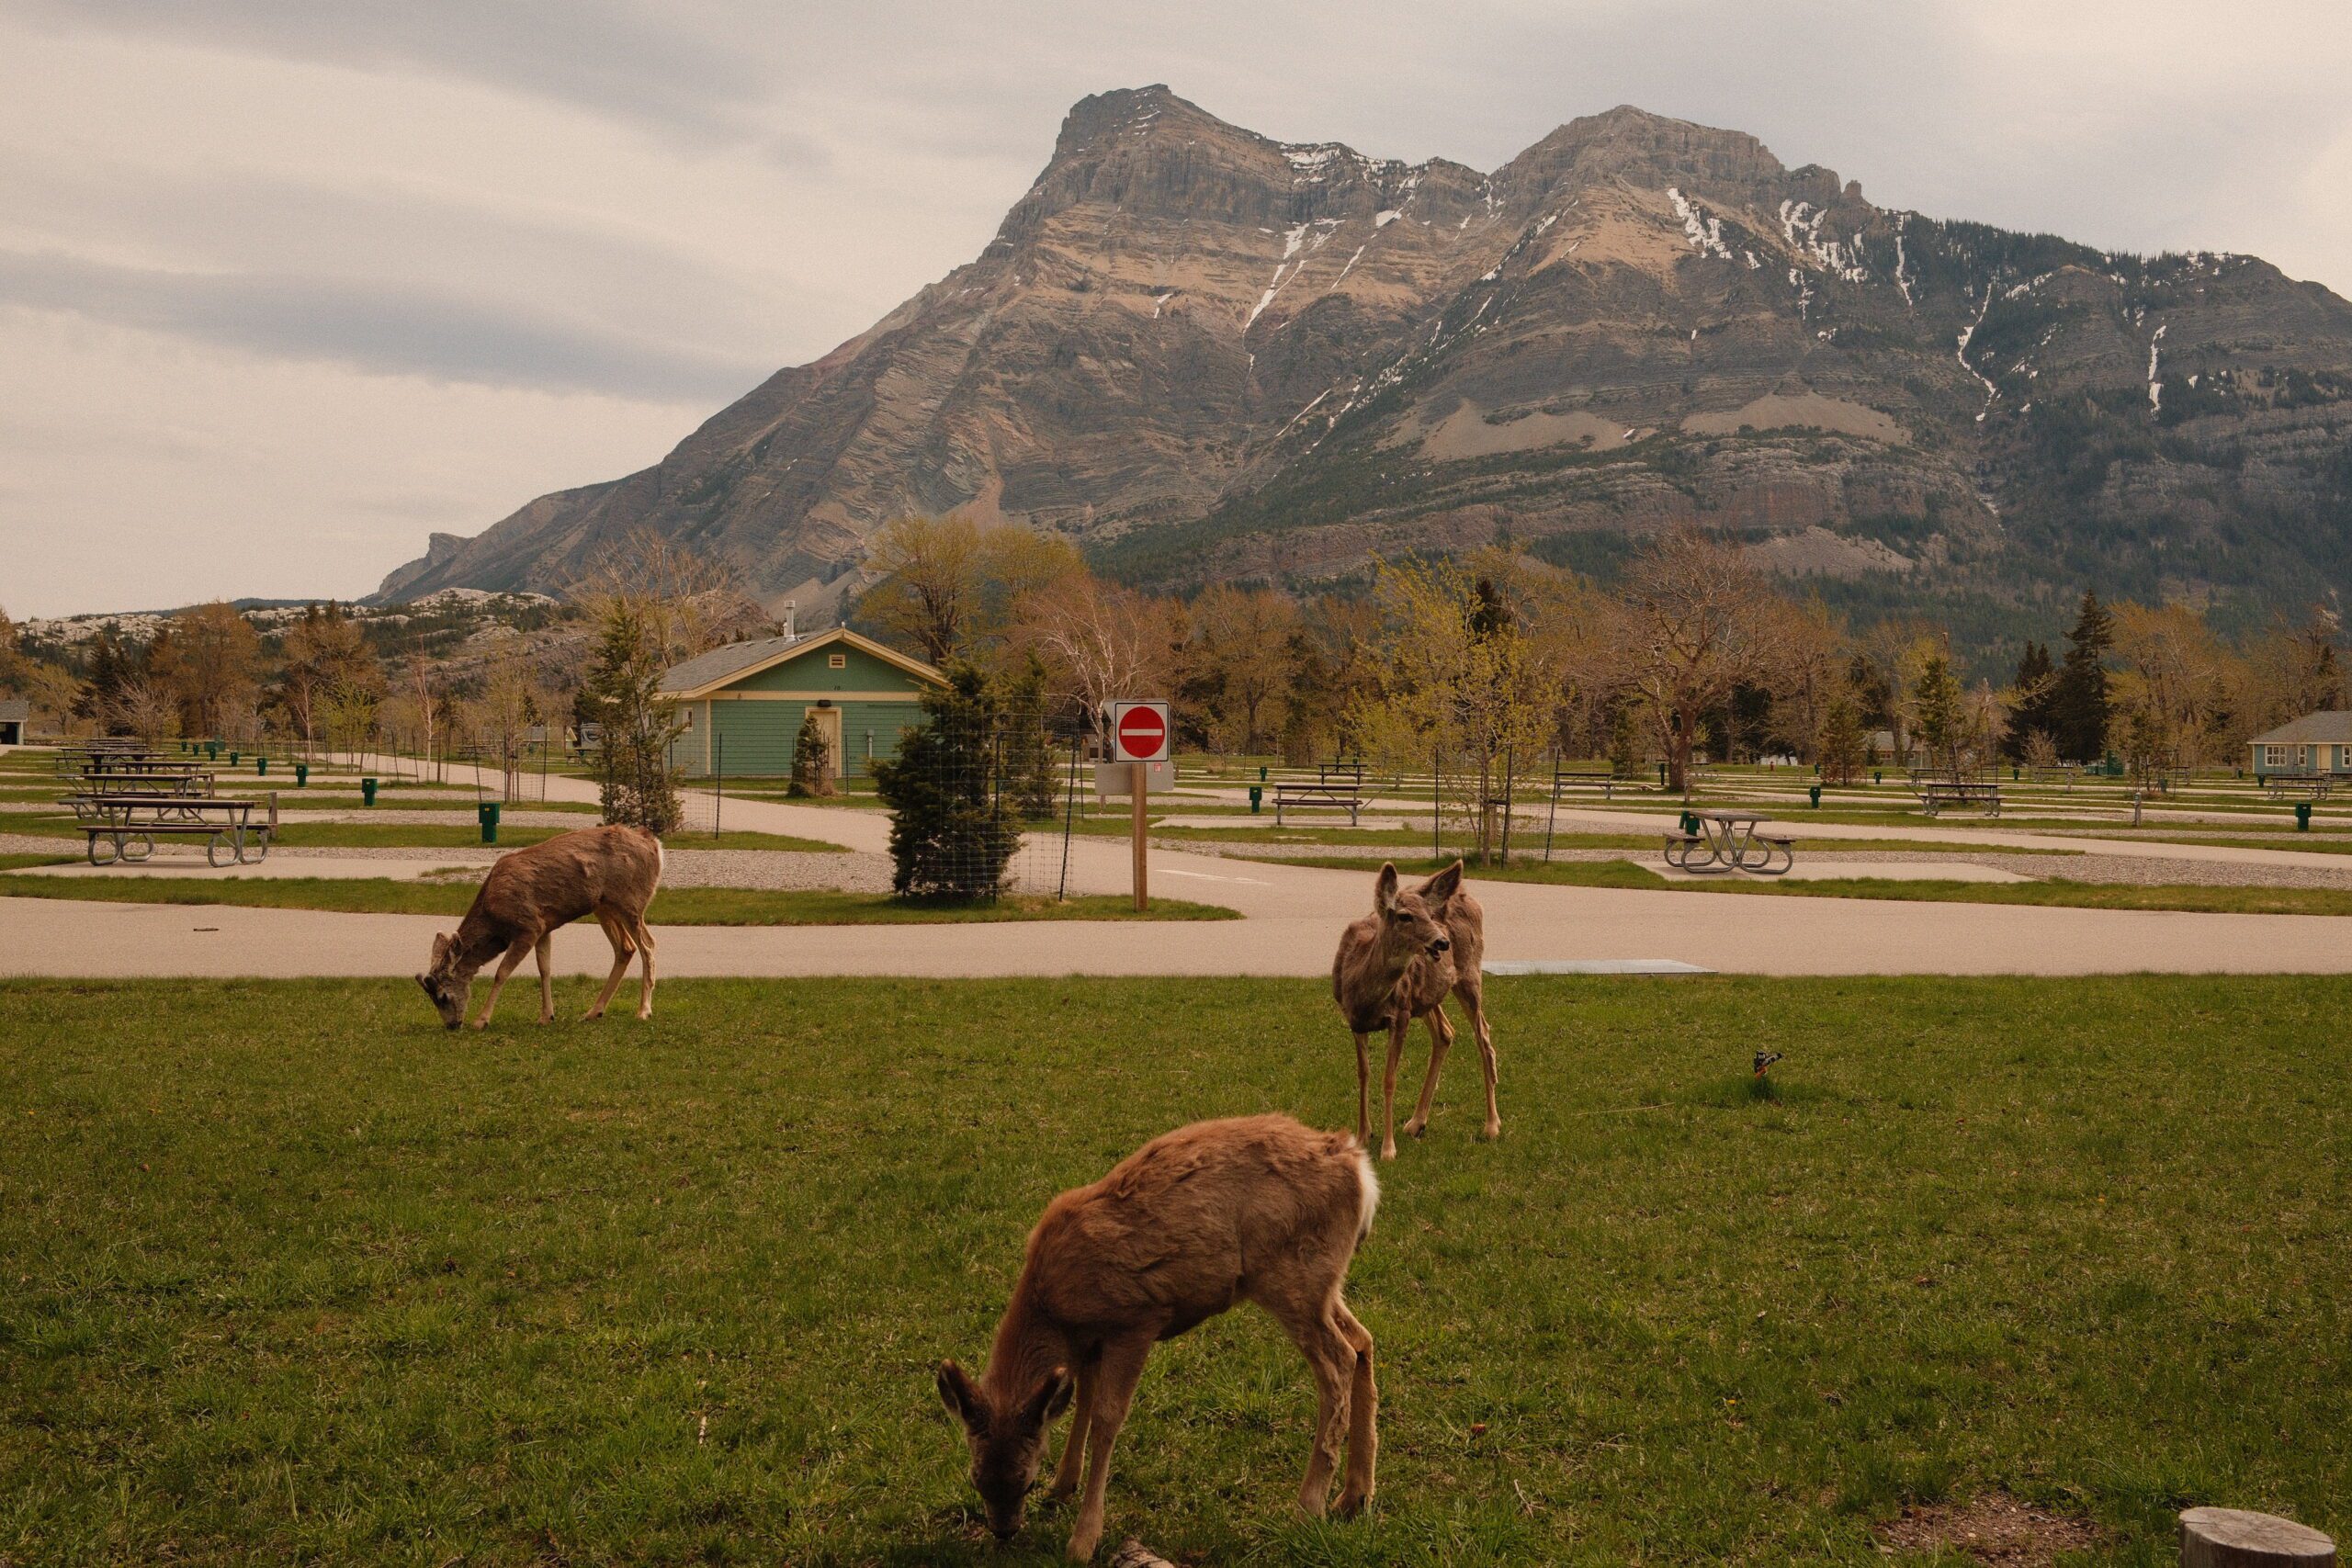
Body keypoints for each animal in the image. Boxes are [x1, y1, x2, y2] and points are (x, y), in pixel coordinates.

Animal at [414, 823, 663, 1031]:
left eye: (442, 996)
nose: (452, 1025)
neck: (494, 916)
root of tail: (655, 845)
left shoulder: (528, 925)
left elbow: (502, 972)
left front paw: (481, 1020)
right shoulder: (544, 926)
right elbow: (545, 968)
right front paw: (546, 1016)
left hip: (631, 900)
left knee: (648, 946)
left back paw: (644, 1011)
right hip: (604, 906)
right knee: (626, 948)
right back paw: (594, 1012)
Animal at [937, 1114, 1379, 1561]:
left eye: (1024, 1478)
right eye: (976, 1478)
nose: (1004, 1530)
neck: (1055, 1310)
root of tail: (1359, 1167)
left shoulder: (1135, 1320)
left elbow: (1107, 1418)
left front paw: (1083, 1539)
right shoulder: (1091, 1340)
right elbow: (1083, 1401)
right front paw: (1062, 1485)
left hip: (1292, 1275)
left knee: (1338, 1360)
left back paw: (1309, 1506)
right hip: (1322, 1284)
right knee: (1362, 1340)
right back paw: (1353, 1496)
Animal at [1332, 861, 1499, 1159]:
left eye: (1430, 915)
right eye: (1405, 916)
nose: (1442, 942)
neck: (1362, 992)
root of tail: (1471, 899)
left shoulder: (1401, 1015)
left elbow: (1389, 1079)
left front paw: (1388, 1149)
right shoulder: (1354, 1021)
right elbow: (1363, 1074)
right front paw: (1362, 1136)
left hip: (1468, 974)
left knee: (1484, 1038)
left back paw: (1492, 1125)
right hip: (1426, 996)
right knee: (1446, 1033)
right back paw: (1416, 1123)